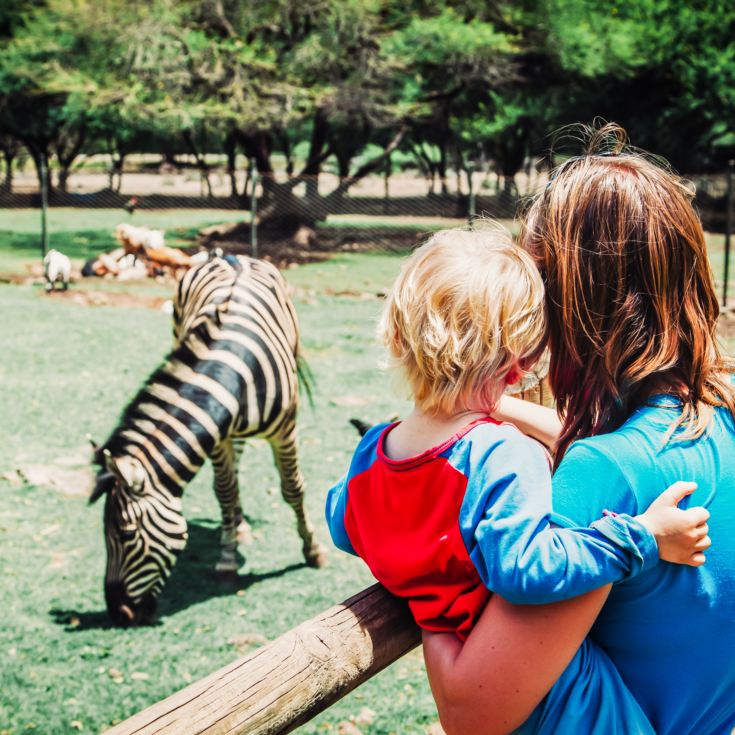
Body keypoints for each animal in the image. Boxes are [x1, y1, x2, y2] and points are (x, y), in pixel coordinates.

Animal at [89, 254, 328, 628]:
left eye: (126, 535)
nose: (119, 614)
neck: (234, 368)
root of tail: (230, 255)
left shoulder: (285, 429)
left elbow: (293, 488)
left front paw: (313, 550)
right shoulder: (217, 438)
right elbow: (225, 492)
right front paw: (228, 559)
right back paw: (238, 527)